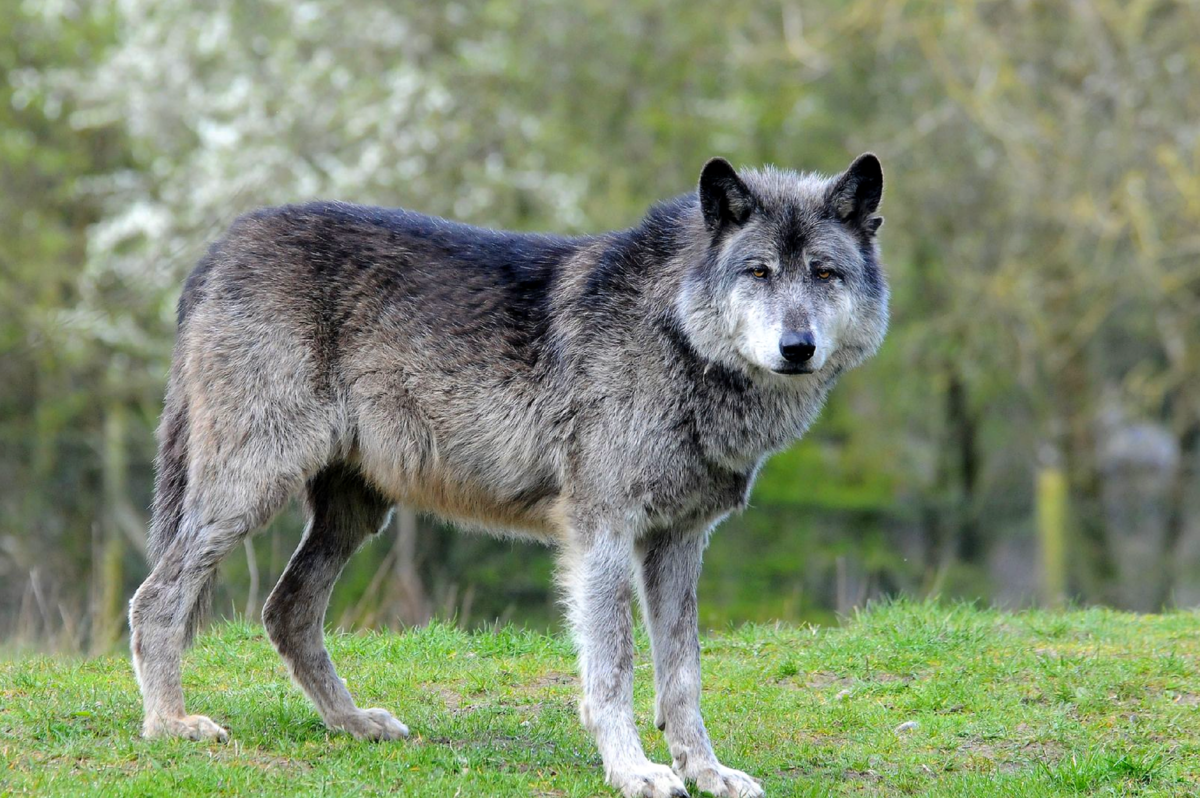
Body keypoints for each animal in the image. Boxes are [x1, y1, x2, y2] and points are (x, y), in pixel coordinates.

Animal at [126, 152, 888, 792]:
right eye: (758, 272)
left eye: (825, 274)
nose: (798, 346)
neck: (675, 334)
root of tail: (220, 246)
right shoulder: (602, 535)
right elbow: (614, 669)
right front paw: (633, 770)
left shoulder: (678, 541)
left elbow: (683, 675)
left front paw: (706, 771)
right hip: (251, 491)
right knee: (157, 598)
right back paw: (170, 724)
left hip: (355, 514)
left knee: (287, 610)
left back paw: (354, 723)